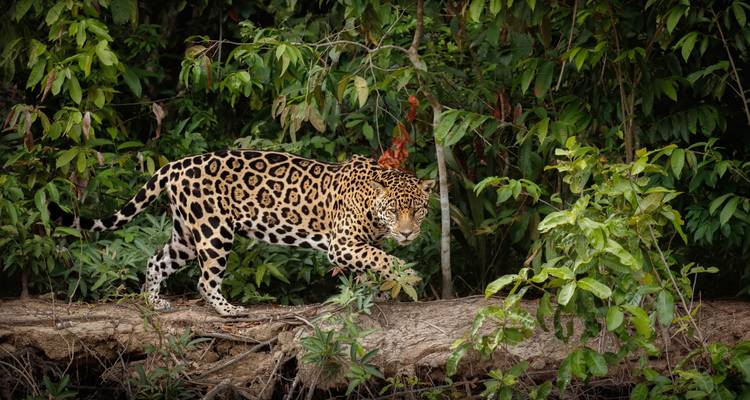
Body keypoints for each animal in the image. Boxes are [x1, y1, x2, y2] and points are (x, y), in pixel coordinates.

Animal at [51, 150, 435, 316]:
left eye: (417, 210)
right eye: (394, 210)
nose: (406, 234)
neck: (372, 205)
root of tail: (175, 165)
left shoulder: (358, 245)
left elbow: (370, 264)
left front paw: (376, 292)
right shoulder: (342, 244)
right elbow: (380, 257)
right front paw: (408, 275)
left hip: (185, 235)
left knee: (155, 261)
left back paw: (154, 300)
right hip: (214, 231)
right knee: (204, 280)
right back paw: (228, 310)